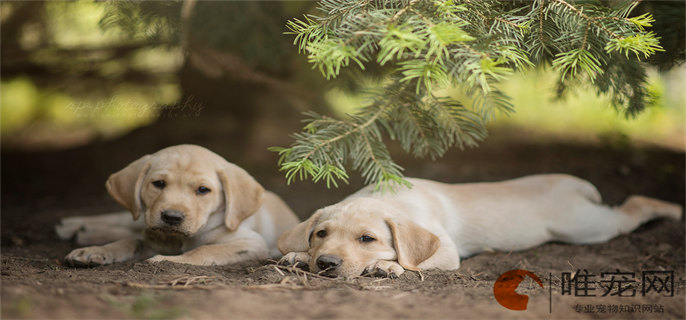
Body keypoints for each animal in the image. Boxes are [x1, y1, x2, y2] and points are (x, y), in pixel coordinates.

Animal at [60, 144, 302, 264]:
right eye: (158, 183)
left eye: (203, 190)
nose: (171, 217)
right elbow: (128, 241)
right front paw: (96, 252)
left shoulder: (251, 242)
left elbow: (202, 251)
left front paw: (165, 260)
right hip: (141, 217)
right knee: (124, 223)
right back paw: (74, 226)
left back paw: (84, 232)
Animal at [278, 175, 684, 278]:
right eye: (320, 234)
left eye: (367, 239)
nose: (326, 264)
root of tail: (569, 182)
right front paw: (298, 255)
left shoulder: (446, 250)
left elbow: (414, 260)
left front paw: (387, 264)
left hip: (589, 226)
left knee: (635, 205)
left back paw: (675, 209)